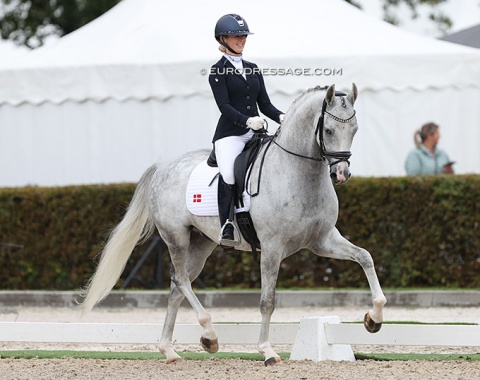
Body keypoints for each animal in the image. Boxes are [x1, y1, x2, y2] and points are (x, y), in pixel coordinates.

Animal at [79, 84, 386, 366]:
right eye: (330, 131)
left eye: (355, 129)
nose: (341, 174)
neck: (298, 173)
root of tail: (162, 167)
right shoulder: (272, 248)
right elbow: (267, 300)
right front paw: (267, 351)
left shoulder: (322, 241)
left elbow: (365, 257)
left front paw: (374, 319)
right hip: (176, 237)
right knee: (180, 280)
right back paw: (209, 335)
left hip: (201, 244)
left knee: (177, 287)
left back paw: (170, 350)